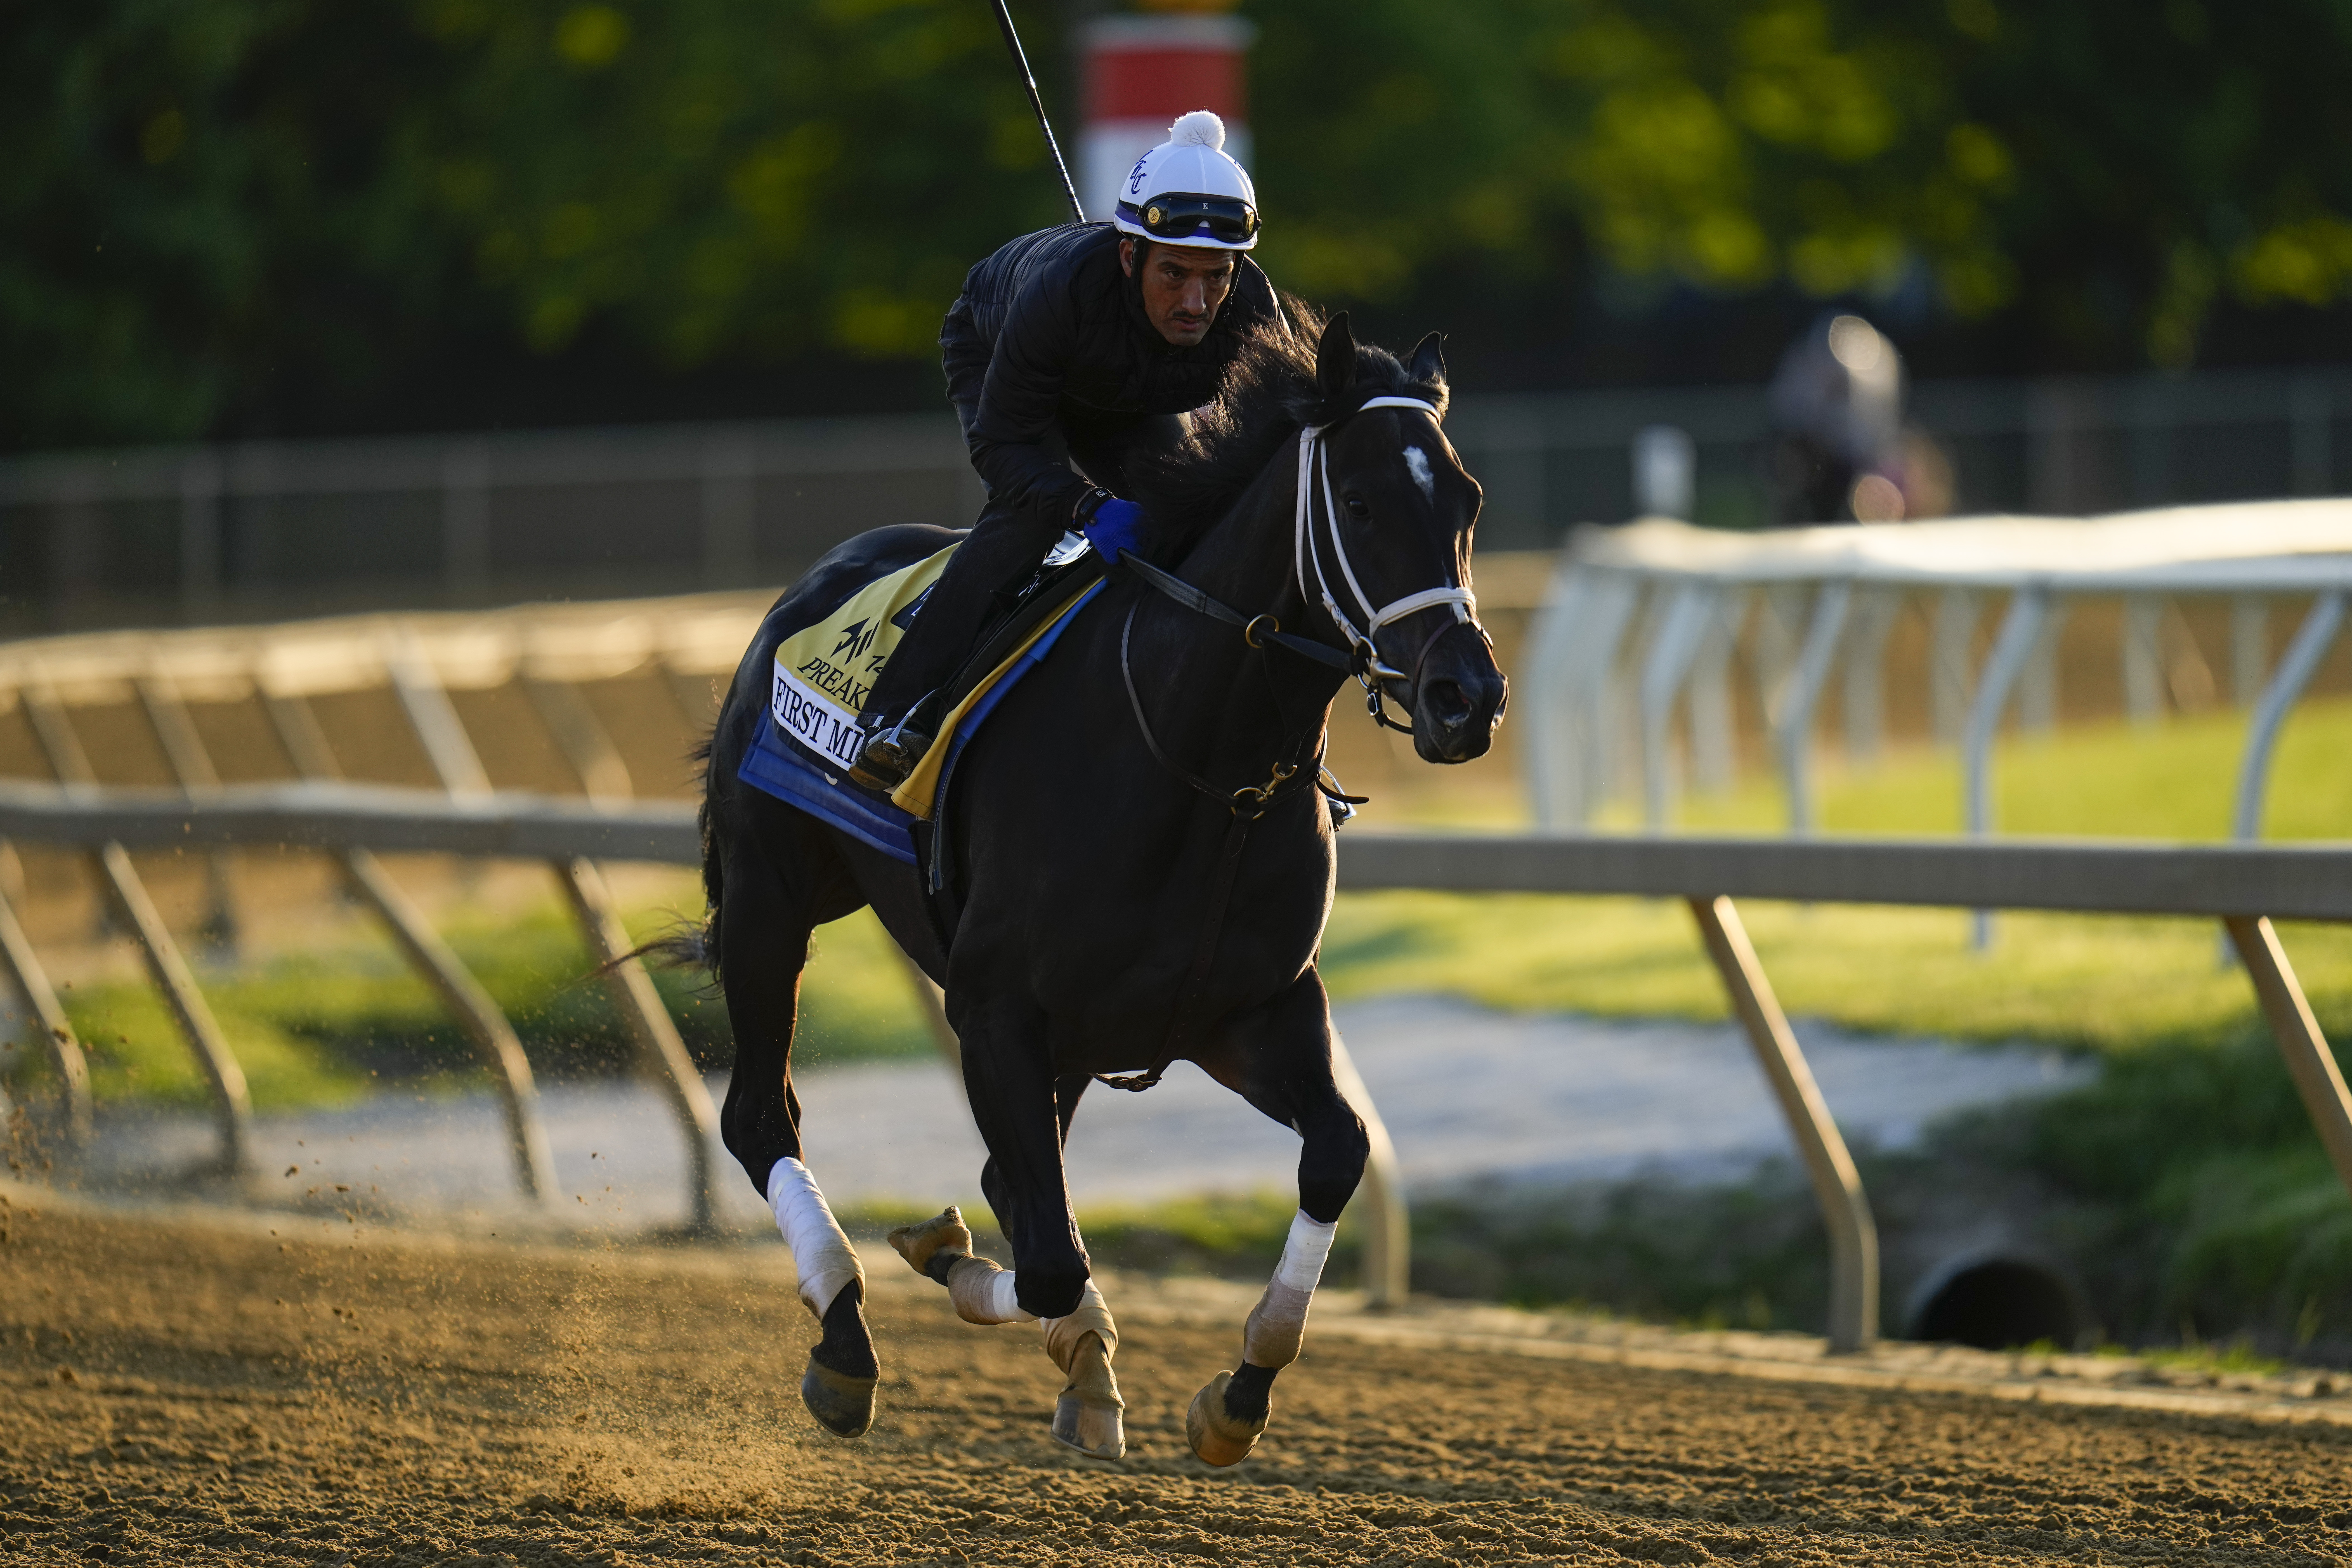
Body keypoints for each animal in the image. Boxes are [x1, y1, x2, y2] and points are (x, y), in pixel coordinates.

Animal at [691, 306, 1508, 1464]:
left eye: (1466, 501)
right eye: (1356, 501)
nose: (1465, 696)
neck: (1200, 760)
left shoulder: (1248, 1008)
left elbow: (1334, 1153)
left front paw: (1235, 1391)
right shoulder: (993, 1007)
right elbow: (1045, 1257)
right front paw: (986, 1288)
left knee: (1011, 1179)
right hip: (770, 899)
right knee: (762, 1116)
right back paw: (846, 1341)